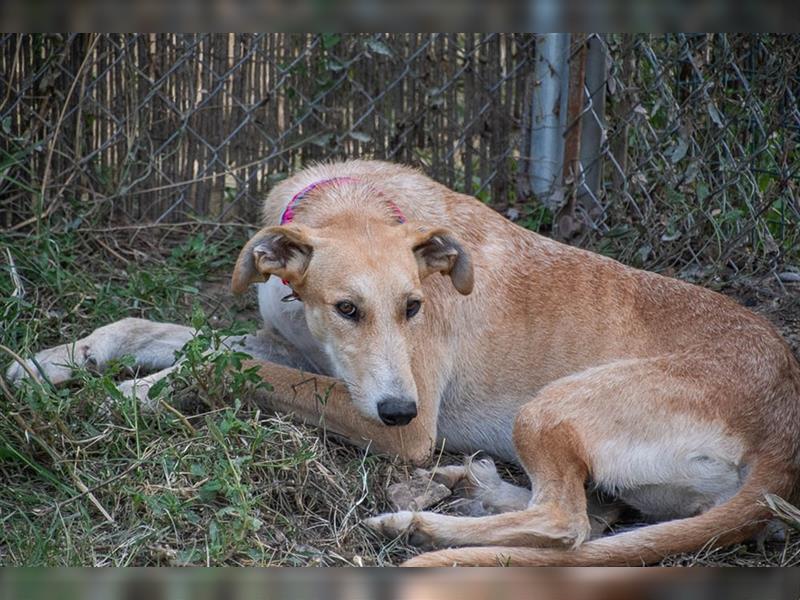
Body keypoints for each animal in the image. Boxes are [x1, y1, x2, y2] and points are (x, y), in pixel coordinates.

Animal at [7, 161, 800, 568]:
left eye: (415, 305)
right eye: (347, 309)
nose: (399, 410)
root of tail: (783, 428)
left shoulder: (389, 419)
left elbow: (222, 372)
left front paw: (135, 396)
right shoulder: (287, 346)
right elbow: (152, 329)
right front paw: (47, 366)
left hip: (551, 404)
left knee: (566, 525)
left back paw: (419, 528)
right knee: (593, 515)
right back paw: (472, 486)